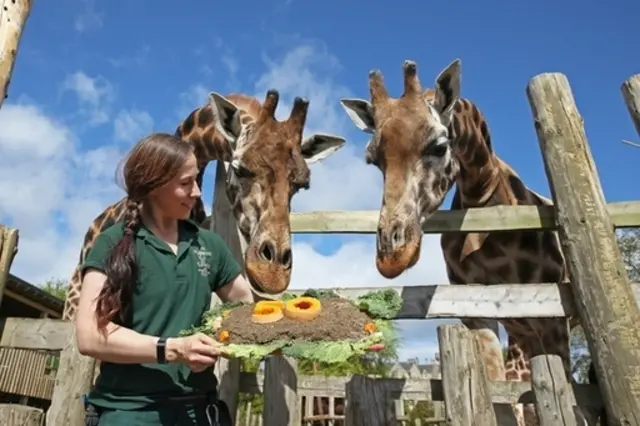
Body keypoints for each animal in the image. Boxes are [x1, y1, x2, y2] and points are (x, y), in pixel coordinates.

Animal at [340, 60, 596, 426]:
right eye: (373, 159)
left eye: (438, 146)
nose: (392, 255)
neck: (484, 199)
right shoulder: (477, 314)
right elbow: (497, 395)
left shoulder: (554, 318)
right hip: (522, 334)